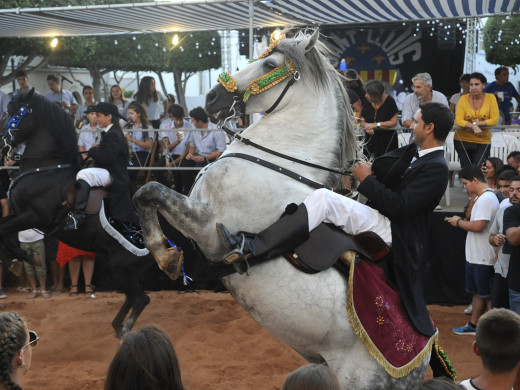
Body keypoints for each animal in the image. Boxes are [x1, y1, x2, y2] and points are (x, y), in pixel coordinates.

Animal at [2, 87, 156, 336]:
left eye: (16, 113)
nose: (5, 144)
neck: (45, 168)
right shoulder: (18, 214)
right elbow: (4, 231)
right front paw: (19, 260)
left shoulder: (34, 216)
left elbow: (3, 232)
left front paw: (26, 259)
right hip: (119, 270)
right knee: (134, 298)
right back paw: (118, 326)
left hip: (120, 267)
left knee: (141, 299)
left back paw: (124, 330)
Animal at [134, 29, 430, 388]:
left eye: (270, 64)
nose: (213, 97)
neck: (277, 162)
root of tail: (421, 361)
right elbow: (144, 193)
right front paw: (165, 254)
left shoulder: (207, 226)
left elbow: (148, 192)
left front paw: (166, 256)